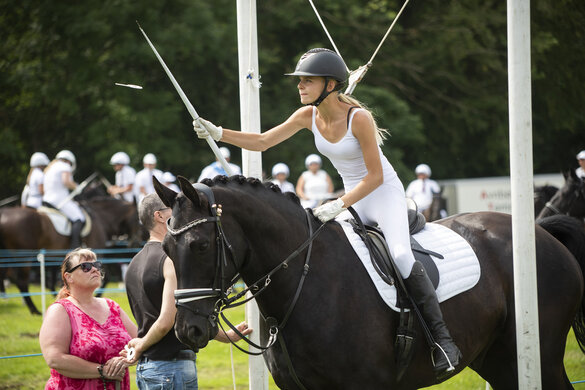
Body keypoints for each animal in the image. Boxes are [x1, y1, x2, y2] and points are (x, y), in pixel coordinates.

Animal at [0, 183, 141, 314]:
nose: (135, 243)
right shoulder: (99, 251)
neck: (101, 217)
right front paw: (96, 297)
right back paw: (34, 310)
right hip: (24, 256)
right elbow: (105, 278)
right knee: (21, 281)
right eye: (138, 218)